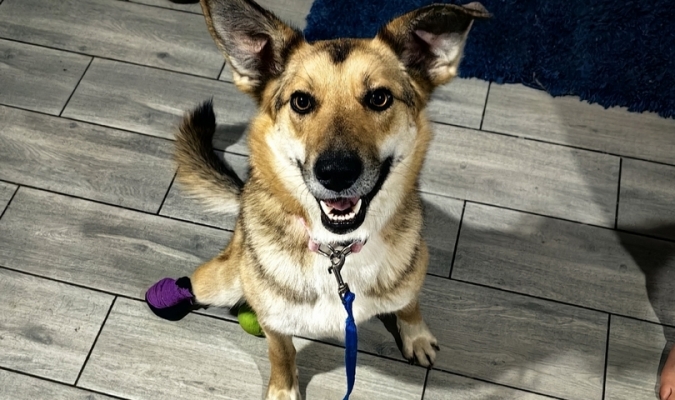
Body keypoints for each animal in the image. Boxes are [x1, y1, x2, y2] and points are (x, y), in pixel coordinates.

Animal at [174, 0, 488, 398]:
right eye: (301, 101)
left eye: (379, 98)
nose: (336, 173)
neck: (337, 250)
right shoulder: (274, 321)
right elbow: (281, 352)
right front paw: (283, 389)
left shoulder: (410, 275)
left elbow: (409, 304)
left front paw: (415, 334)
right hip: (223, 280)